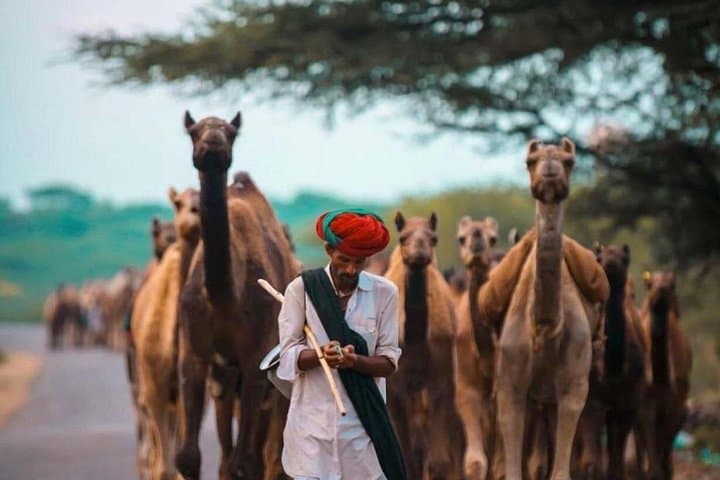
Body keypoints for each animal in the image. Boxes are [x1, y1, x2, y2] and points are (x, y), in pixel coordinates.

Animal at [174, 112, 295, 480]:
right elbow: (189, 457)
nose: (212, 140)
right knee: (228, 456)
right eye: (193, 131)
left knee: (262, 455)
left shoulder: (256, 357)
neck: (226, 298)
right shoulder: (195, 353)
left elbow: (246, 463)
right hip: (226, 379)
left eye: (230, 132)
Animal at [384, 211, 463, 480]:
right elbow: (407, 455)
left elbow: (438, 461)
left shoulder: (442, 377)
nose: (419, 252)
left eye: (433, 238)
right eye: (402, 237)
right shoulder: (396, 386)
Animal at [480, 138, 609, 480]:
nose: (549, 168)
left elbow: (560, 471)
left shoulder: (575, 387)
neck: (545, 328)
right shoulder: (510, 385)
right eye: (530, 161)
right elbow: (512, 470)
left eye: (569, 161)